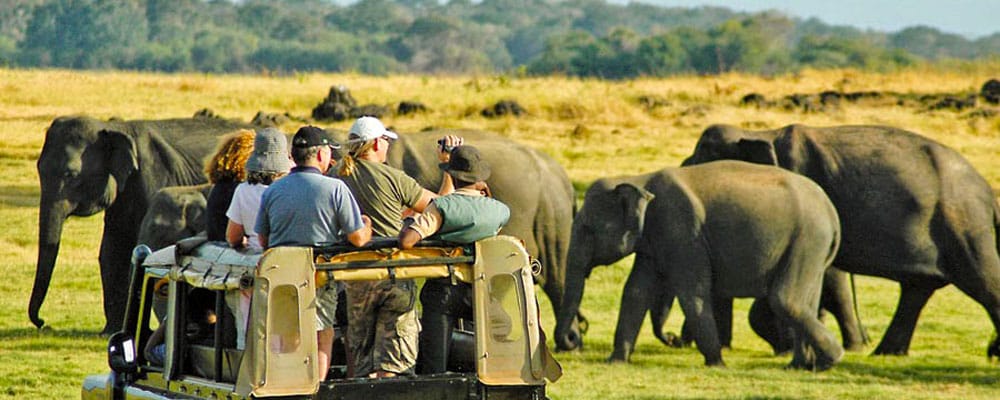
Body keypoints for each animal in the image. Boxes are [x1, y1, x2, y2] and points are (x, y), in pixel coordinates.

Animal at [32, 115, 252, 334]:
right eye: (38, 168)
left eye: (70, 174)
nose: (43, 323)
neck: (113, 128)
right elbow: (112, 250)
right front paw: (111, 332)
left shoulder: (154, 176)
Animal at [556, 159, 844, 368]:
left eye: (587, 229)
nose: (574, 338)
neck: (640, 179)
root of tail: (831, 212)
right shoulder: (653, 241)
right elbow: (635, 292)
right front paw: (615, 362)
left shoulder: (682, 231)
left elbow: (692, 293)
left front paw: (716, 364)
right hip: (813, 249)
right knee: (808, 301)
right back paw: (801, 366)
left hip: (807, 239)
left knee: (785, 299)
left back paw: (833, 358)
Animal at [684, 123, 1000, 358]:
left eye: (701, 159)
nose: (678, 340)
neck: (762, 132)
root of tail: (987, 191)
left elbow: (828, 276)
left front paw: (787, 345)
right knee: (916, 290)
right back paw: (885, 353)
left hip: (963, 225)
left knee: (982, 281)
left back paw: (992, 352)